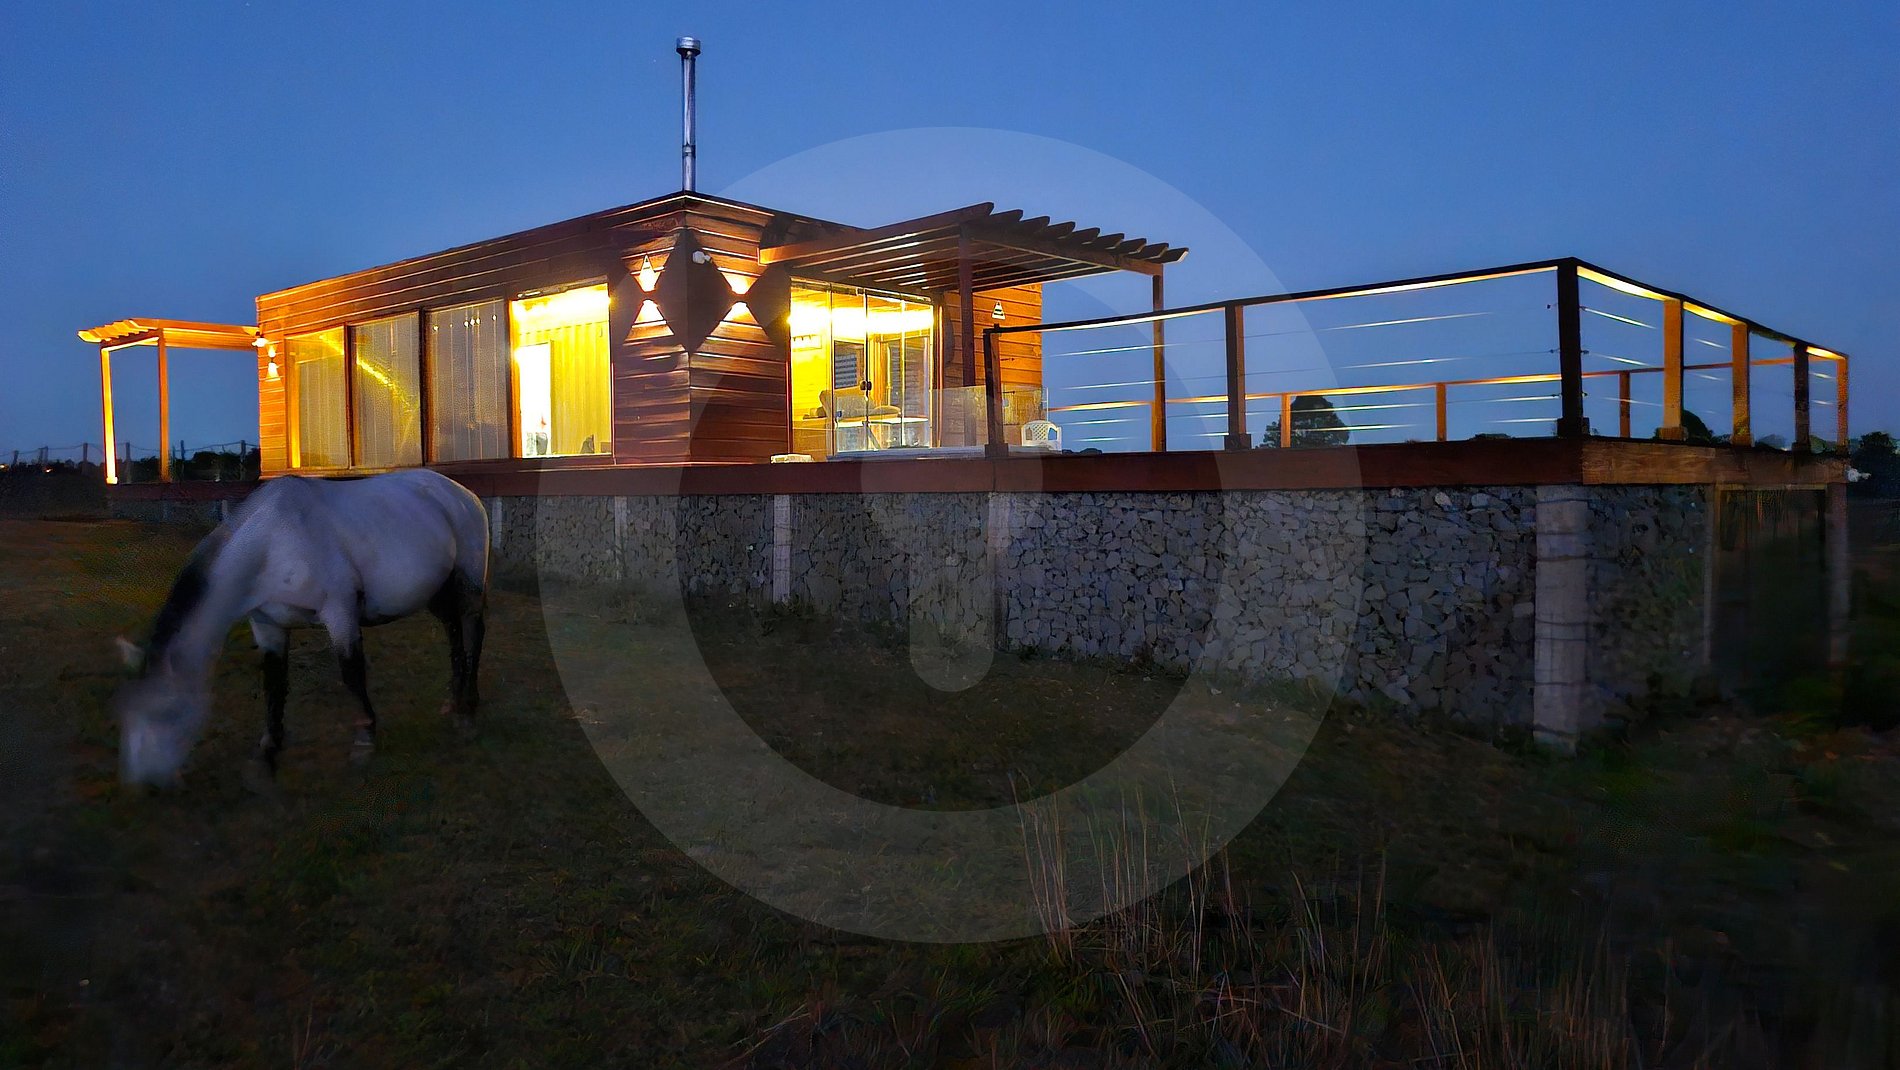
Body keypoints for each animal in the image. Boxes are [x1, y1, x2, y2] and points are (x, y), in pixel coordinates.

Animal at [114, 468, 489, 787]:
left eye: (167, 712)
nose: (147, 785)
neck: (275, 543)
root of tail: (459, 492)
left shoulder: (340, 612)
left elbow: (352, 674)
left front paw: (365, 740)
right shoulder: (267, 626)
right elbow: (274, 685)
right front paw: (268, 755)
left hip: (468, 581)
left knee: (473, 631)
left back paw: (468, 711)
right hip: (435, 591)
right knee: (453, 632)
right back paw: (452, 701)